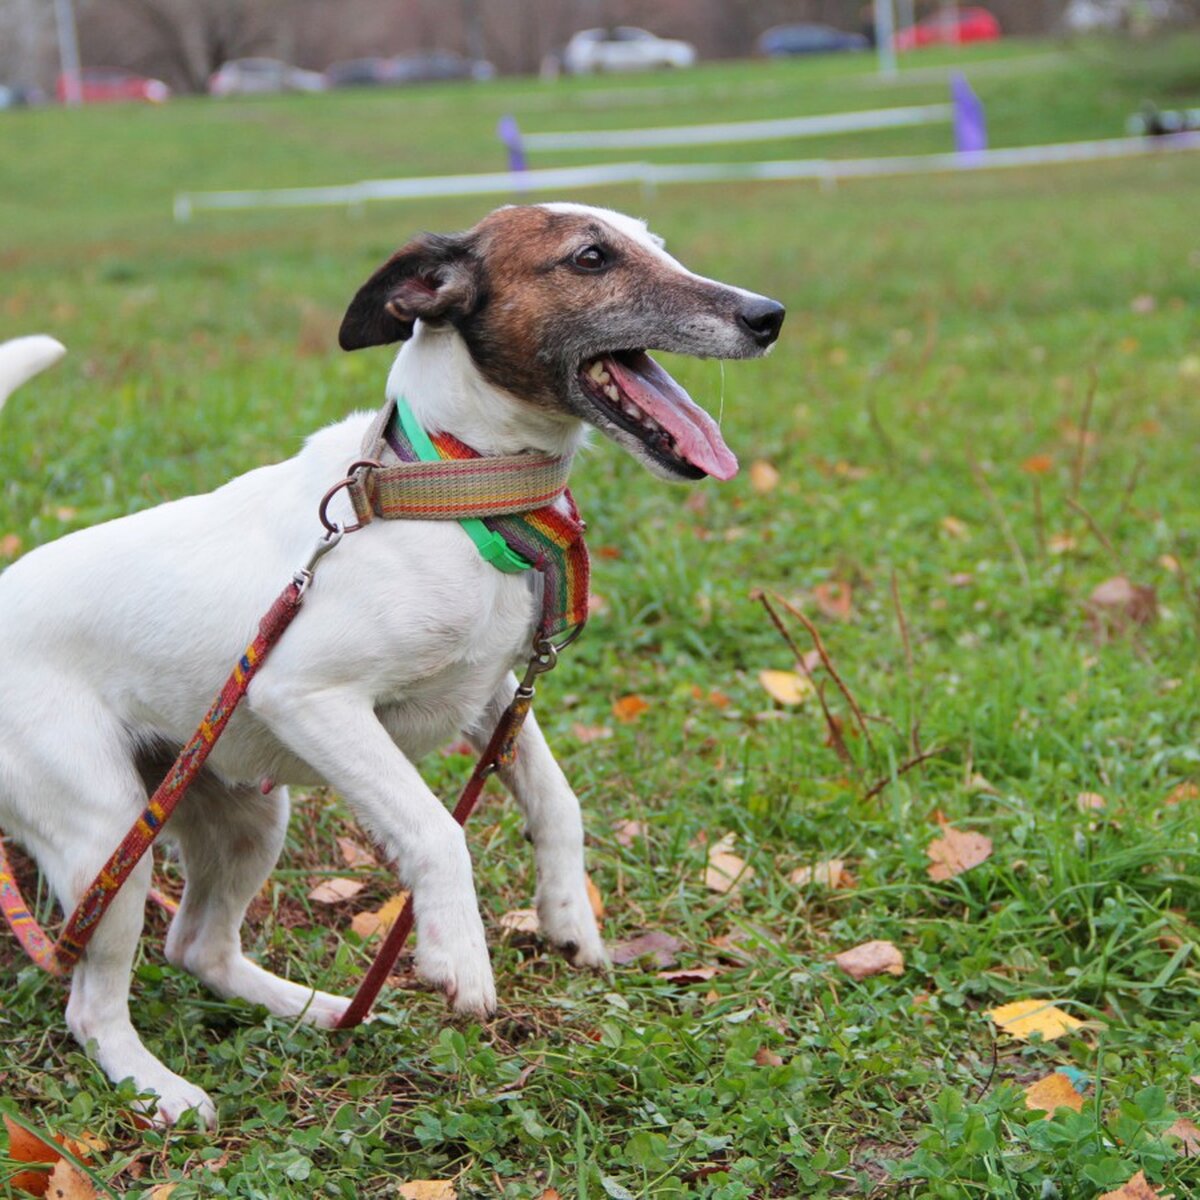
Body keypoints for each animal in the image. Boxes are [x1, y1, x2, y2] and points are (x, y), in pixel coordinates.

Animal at [0, 201, 787, 1118]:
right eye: (592, 258)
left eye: (655, 243)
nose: (768, 316)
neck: (455, 485)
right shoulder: (305, 697)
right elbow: (437, 830)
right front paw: (460, 957)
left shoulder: (493, 692)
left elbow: (558, 801)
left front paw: (567, 915)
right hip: (105, 834)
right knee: (91, 1004)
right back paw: (158, 1085)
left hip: (241, 814)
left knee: (198, 948)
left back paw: (319, 1009)